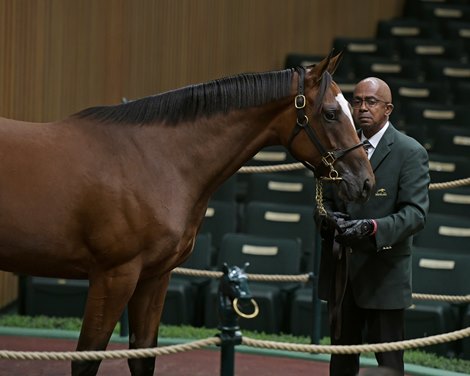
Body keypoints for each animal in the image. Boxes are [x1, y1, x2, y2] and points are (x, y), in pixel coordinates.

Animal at [0, 51, 374, 374]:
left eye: (352, 109)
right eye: (330, 113)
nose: (366, 181)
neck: (154, 160)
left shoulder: (154, 278)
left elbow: (142, 356)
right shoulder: (113, 276)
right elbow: (86, 359)